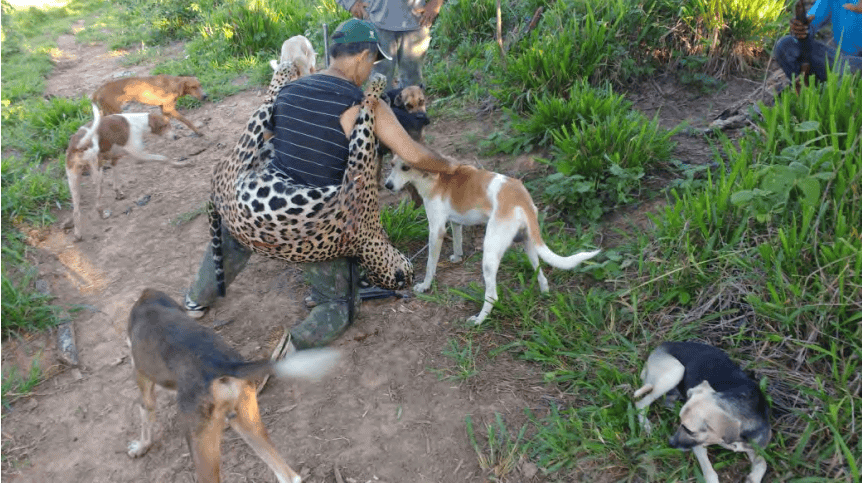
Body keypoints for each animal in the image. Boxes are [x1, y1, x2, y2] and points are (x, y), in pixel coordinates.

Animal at [66, 106, 179, 242]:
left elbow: (116, 182)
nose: (176, 136)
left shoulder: (114, 160)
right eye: (165, 125)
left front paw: (118, 194)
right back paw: (103, 215)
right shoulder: (140, 156)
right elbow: (164, 158)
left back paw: (78, 235)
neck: (138, 122)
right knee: (97, 205)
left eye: (170, 124)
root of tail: (78, 144)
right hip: (99, 175)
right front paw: (180, 164)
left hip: (74, 182)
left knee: (76, 211)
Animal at [128, 290, 338, 482]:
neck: (148, 303)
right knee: (289, 476)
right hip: (248, 423)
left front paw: (141, 447)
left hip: (202, 450)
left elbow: (145, 413)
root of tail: (220, 364)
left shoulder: (142, 380)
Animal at [384, 157, 600, 328]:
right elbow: (458, 240)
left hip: (490, 254)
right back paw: (544, 293)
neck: (433, 176)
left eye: (405, 168)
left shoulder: (436, 230)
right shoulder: (455, 222)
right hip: (528, 243)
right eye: (392, 164)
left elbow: (430, 264)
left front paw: (425, 286)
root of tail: (521, 197)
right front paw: (457, 257)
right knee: (541, 275)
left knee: (492, 296)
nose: (387, 185)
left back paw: (479, 320)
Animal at [636, 342, 776, 483]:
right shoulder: (697, 445)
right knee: (641, 403)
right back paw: (646, 426)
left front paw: (753, 478)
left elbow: (763, 463)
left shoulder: (754, 447)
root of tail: (661, 345)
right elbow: (709, 472)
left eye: (689, 430)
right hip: (676, 371)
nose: (670, 443)